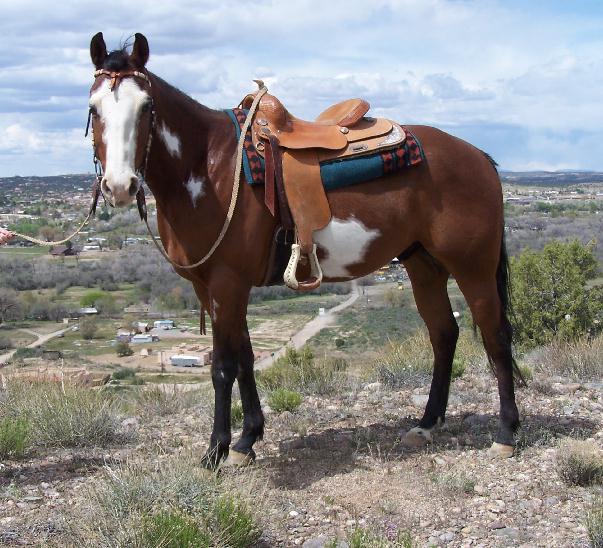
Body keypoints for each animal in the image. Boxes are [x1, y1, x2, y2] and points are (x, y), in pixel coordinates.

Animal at [86, 32, 521, 468]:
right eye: (93, 107)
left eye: (146, 107)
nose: (120, 186)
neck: (208, 169)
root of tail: (478, 157)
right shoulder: (212, 288)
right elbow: (246, 358)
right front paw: (247, 440)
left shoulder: (227, 283)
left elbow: (223, 367)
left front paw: (216, 450)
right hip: (424, 265)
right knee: (444, 333)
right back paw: (428, 423)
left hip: (473, 267)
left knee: (495, 335)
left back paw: (506, 433)